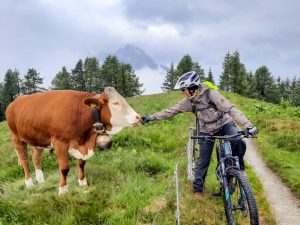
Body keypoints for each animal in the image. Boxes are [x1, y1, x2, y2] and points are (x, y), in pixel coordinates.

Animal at [4, 87, 141, 194]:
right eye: (115, 103)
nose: (138, 117)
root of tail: (13, 103)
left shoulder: (82, 143)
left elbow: (81, 164)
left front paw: (82, 182)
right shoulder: (60, 143)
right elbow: (64, 168)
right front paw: (63, 189)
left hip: (38, 139)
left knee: (36, 158)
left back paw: (41, 180)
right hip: (16, 138)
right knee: (24, 160)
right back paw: (29, 183)